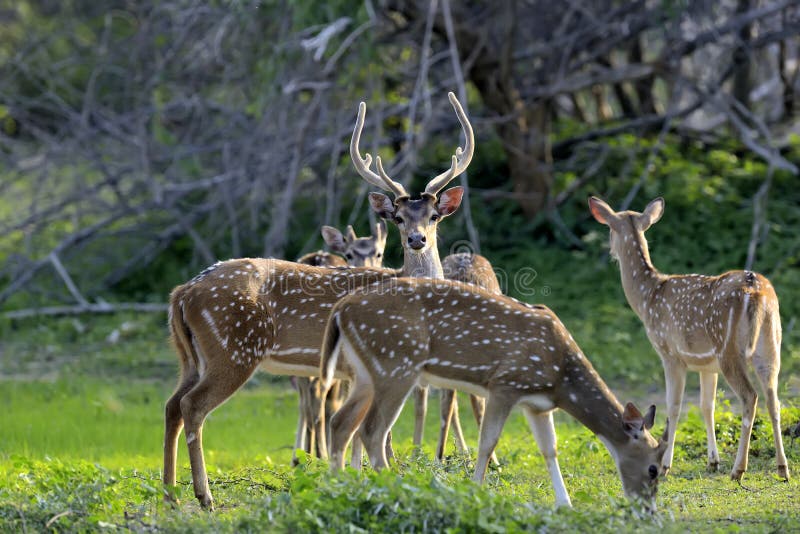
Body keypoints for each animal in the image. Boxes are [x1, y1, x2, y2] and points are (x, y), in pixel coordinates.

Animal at [164, 93, 476, 510]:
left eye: (433, 215)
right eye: (396, 217)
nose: (416, 239)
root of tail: (182, 293)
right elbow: (378, 434)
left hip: (189, 355)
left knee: (171, 405)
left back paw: (170, 494)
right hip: (233, 349)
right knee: (192, 406)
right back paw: (204, 496)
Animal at [322, 278, 664, 508]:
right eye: (654, 469)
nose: (646, 508)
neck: (560, 377)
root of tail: (341, 309)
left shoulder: (538, 405)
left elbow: (550, 449)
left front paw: (565, 504)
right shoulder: (505, 383)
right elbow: (487, 442)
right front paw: (475, 491)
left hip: (366, 373)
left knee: (341, 422)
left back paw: (339, 486)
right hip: (396, 363)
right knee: (372, 430)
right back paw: (394, 485)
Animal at [588, 197, 788, 482]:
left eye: (609, 229)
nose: (611, 252)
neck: (648, 298)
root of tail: (756, 290)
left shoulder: (669, 353)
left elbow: (673, 407)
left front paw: (665, 465)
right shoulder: (706, 365)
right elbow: (707, 406)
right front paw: (713, 461)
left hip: (728, 349)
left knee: (750, 397)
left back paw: (738, 469)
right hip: (771, 345)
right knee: (774, 399)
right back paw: (783, 469)